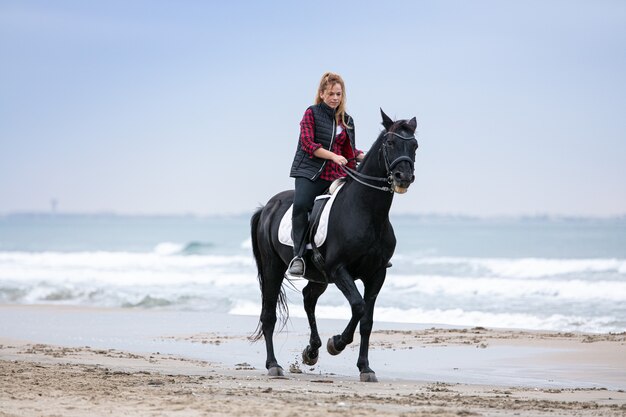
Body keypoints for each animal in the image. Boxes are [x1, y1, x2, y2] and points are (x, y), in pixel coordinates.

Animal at [251, 109, 416, 382]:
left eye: (414, 145)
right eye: (391, 143)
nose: (404, 177)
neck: (366, 211)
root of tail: (267, 207)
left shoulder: (376, 274)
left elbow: (367, 321)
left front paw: (365, 368)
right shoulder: (339, 269)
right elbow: (358, 306)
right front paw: (336, 343)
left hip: (319, 276)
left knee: (308, 298)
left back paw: (311, 351)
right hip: (274, 267)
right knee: (269, 315)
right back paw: (274, 365)